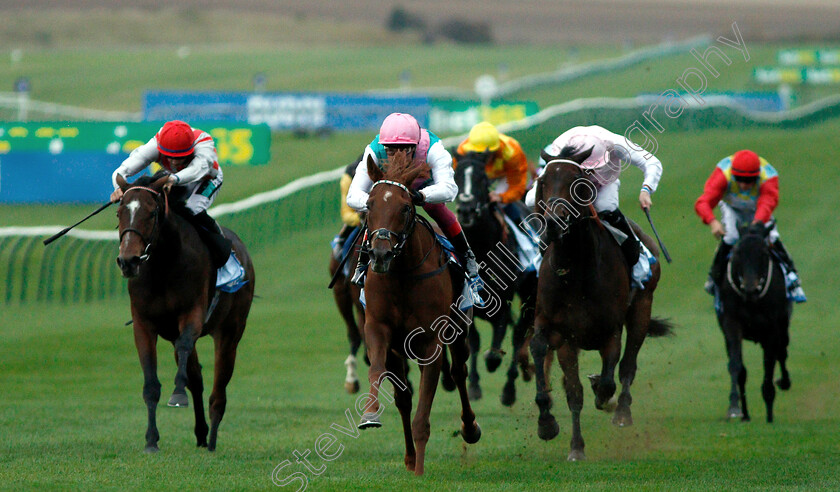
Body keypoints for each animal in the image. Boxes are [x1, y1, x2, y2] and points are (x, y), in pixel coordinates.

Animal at [115, 173, 254, 454]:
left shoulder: (193, 314)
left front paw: (177, 393)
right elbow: (151, 384)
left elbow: (185, 348)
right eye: (119, 212)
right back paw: (201, 434)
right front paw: (151, 440)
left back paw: (212, 442)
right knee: (197, 378)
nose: (128, 261)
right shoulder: (144, 325)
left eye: (152, 212)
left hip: (230, 332)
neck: (163, 266)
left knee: (218, 390)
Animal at [358, 152, 482, 474]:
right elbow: (378, 372)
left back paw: (469, 428)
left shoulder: (431, 341)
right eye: (369, 205)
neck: (402, 274)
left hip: (459, 330)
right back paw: (409, 456)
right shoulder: (378, 329)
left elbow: (423, 413)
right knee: (403, 397)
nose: (380, 254)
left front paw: (421, 471)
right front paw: (370, 414)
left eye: (404, 207)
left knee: (459, 372)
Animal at [452, 150, 540, 404]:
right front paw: (473, 385)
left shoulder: (504, 300)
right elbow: (473, 341)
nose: (466, 210)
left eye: (482, 179)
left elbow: (495, 349)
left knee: (519, 334)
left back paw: (510, 389)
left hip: (530, 291)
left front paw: (493, 365)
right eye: (456, 176)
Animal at [716, 221, 796, 420]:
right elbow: (736, 366)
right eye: (737, 252)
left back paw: (784, 382)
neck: (752, 301)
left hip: (783, 326)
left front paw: (769, 415)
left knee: (782, 353)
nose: (750, 289)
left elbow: (769, 366)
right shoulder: (731, 324)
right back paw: (745, 414)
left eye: (764, 253)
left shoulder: (772, 330)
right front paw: (735, 408)